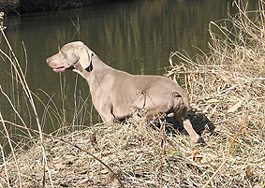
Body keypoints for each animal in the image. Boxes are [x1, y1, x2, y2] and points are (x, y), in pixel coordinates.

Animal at [46, 41, 201, 144]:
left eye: (62, 52)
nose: (47, 60)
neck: (95, 74)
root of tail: (177, 91)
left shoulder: (107, 116)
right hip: (181, 113)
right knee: (195, 135)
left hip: (141, 107)